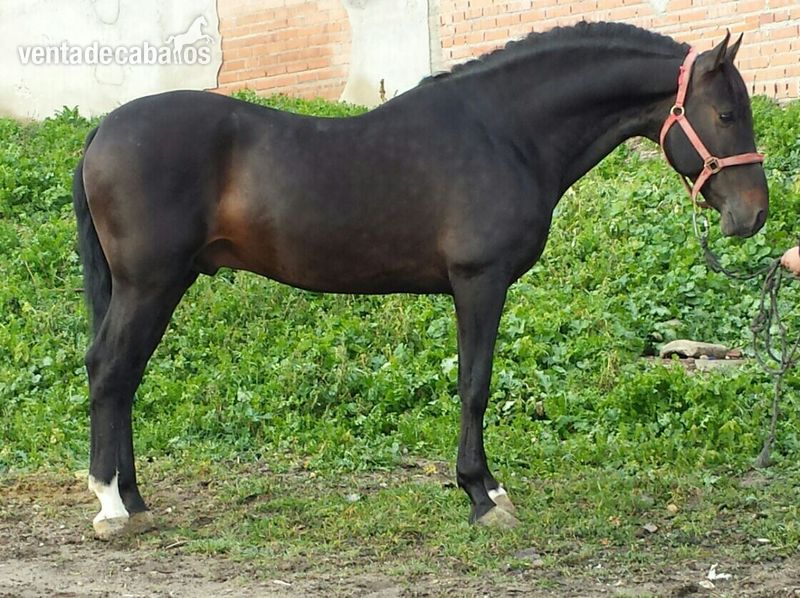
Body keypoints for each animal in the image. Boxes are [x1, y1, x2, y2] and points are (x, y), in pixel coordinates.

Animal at [73, 22, 768, 539]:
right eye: (726, 113)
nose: (753, 214)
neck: (505, 131)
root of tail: (103, 129)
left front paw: (486, 488)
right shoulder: (479, 283)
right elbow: (474, 386)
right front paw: (482, 495)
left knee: (125, 377)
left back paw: (135, 500)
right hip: (149, 284)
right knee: (110, 371)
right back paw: (111, 505)